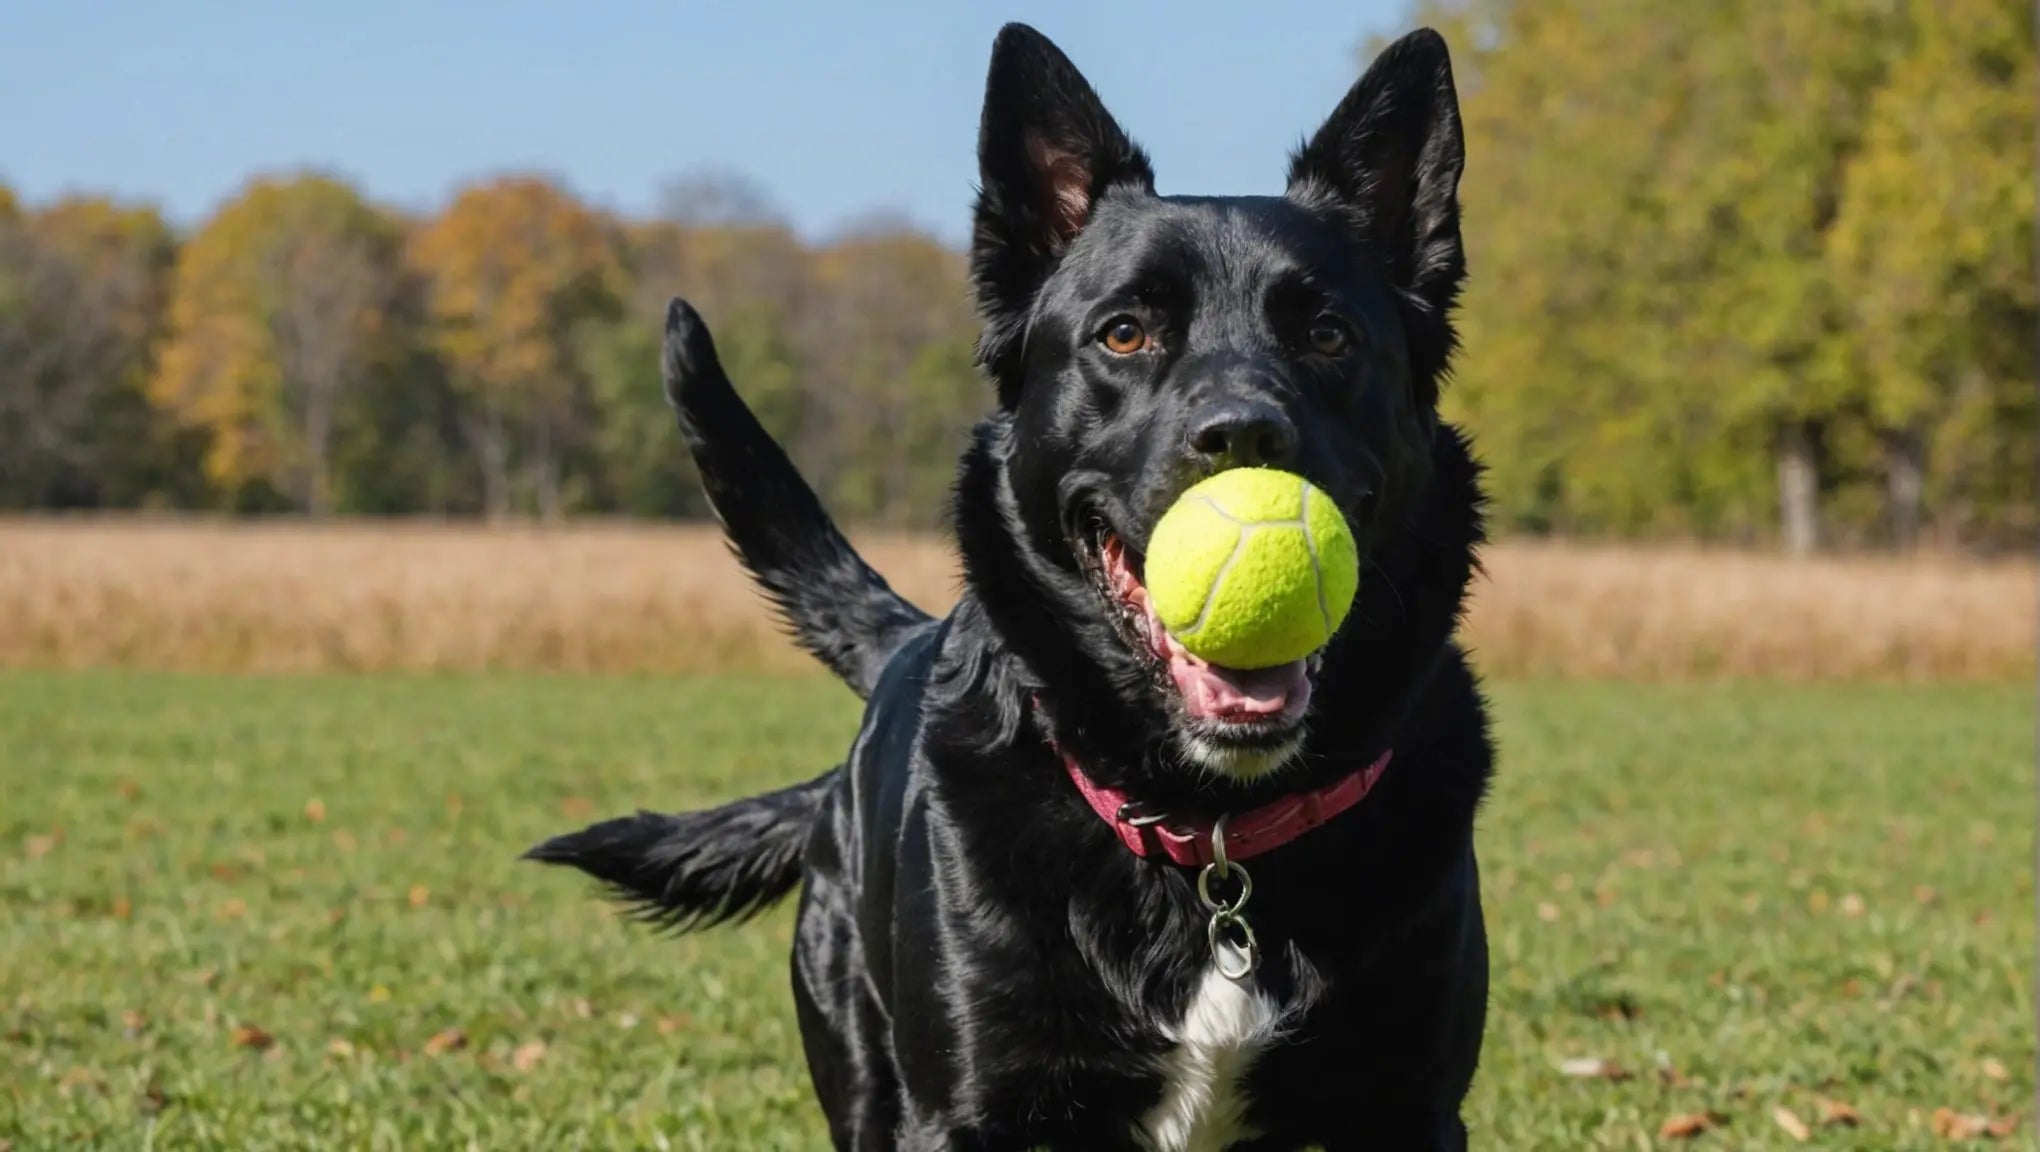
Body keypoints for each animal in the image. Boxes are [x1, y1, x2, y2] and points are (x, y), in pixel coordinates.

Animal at [534, 22, 1493, 1141]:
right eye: (1124, 333)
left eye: (1329, 335)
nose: (1246, 438)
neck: (1210, 839)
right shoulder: (969, 1111)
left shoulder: (1409, 1108)